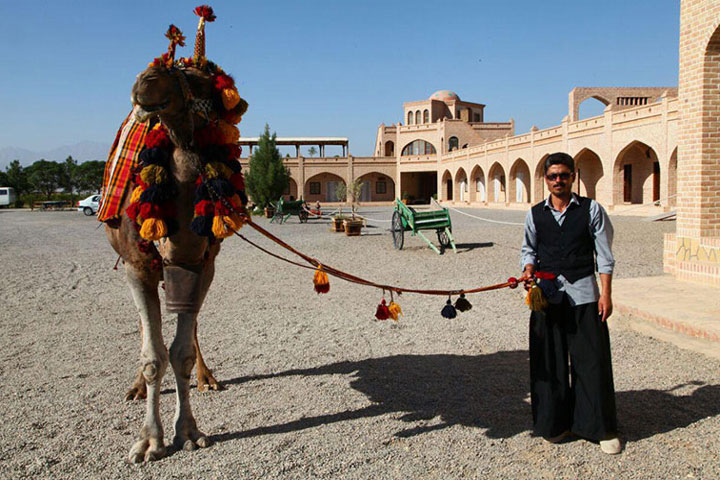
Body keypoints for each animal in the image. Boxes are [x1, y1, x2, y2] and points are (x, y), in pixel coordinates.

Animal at [105, 12, 248, 462]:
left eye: (201, 81)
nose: (145, 82)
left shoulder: (201, 262)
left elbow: (179, 351)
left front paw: (187, 431)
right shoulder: (137, 265)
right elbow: (153, 356)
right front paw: (149, 441)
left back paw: (208, 378)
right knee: (144, 327)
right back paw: (135, 388)